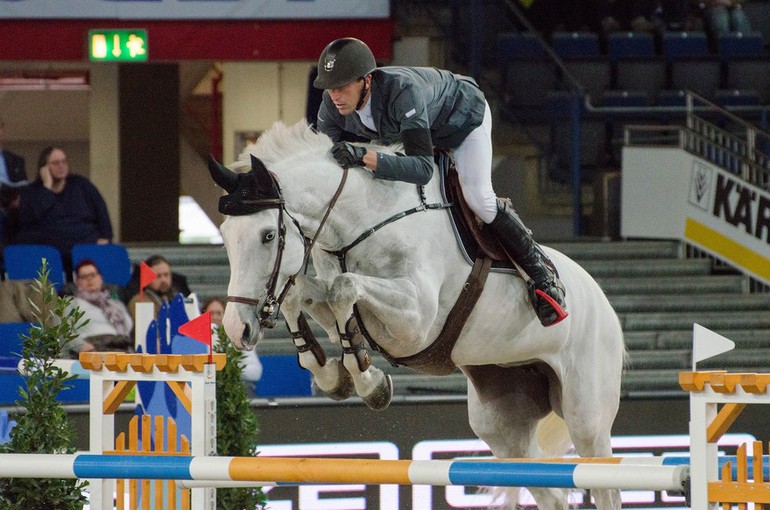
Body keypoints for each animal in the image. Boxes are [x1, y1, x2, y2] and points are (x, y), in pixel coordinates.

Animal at [208, 120, 624, 510]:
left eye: (267, 235)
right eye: (225, 236)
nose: (236, 328)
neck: (363, 222)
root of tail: (604, 303)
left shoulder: (415, 322)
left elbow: (343, 287)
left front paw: (369, 382)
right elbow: (306, 295)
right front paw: (333, 375)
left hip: (586, 414)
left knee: (604, 481)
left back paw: (549, 291)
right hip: (502, 419)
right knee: (548, 488)